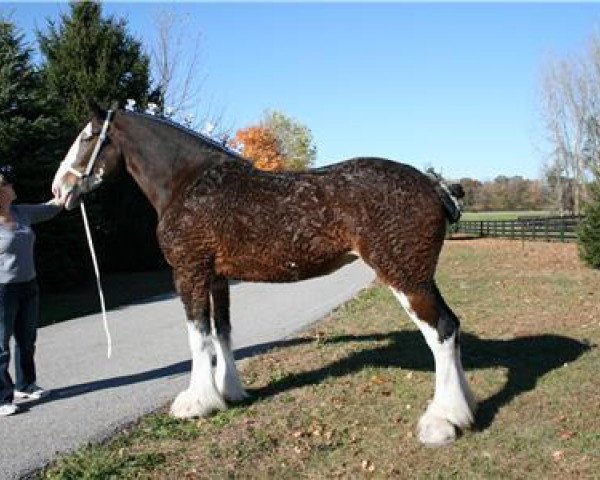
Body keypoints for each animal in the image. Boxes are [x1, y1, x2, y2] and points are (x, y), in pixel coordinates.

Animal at [51, 104, 476, 446]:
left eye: (87, 137)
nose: (59, 189)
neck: (187, 182)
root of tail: (433, 185)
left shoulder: (189, 272)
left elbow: (197, 337)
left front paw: (196, 403)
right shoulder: (217, 278)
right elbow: (222, 333)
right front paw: (229, 392)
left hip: (404, 276)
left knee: (439, 332)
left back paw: (441, 422)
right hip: (420, 276)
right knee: (452, 326)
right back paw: (463, 410)